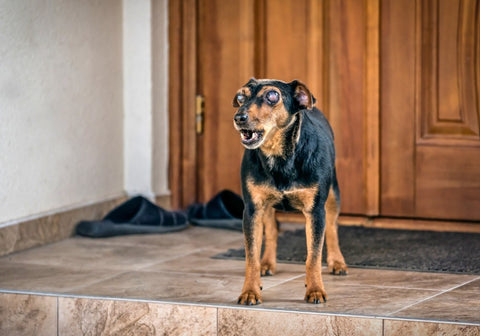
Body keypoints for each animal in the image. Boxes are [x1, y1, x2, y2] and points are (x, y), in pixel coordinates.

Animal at [233, 78, 348, 304]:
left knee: (332, 227)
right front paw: (250, 291)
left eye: (272, 96)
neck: (279, 157)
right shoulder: (252, 209)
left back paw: (337, 262)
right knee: (271, 229)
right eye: (241, 96)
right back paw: (267, 263)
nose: (239, 117)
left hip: (333, 194)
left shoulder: (315, 212)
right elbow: (251, 256)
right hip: (266, 207)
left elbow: (313, 256)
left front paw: (315, 290)